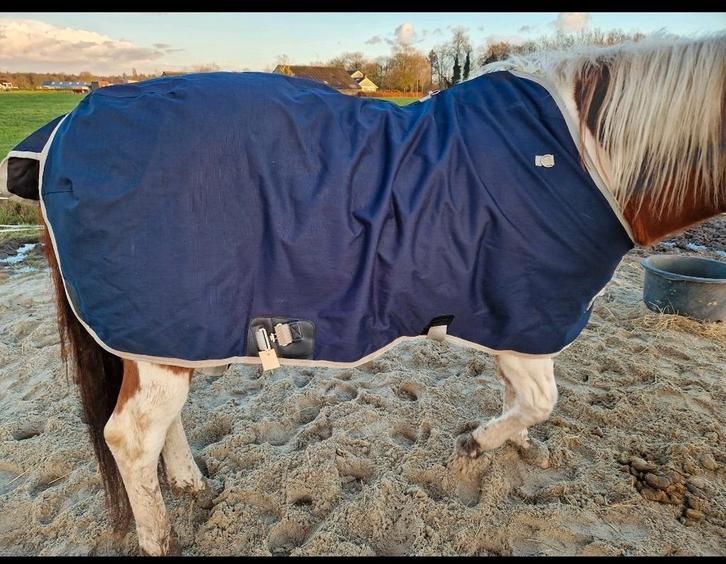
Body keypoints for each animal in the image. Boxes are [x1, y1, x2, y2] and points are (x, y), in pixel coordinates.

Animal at [1, 33, 723, 555]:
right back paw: (161, 539)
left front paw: (502, 448)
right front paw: (478, 446)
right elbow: (540, 400)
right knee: (129, 437)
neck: (587, 157)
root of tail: (61, 130)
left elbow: (526, 402)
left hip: (168, 331)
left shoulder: (510, 319)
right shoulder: (525, 319)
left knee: (156, 425)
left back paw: (188, 481)